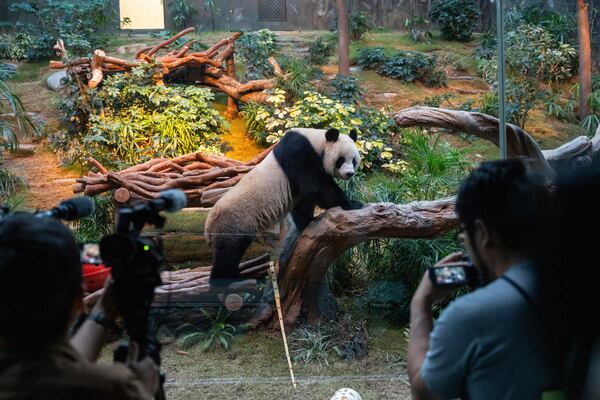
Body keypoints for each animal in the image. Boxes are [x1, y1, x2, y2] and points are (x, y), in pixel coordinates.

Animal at [206, 128, 364, 284]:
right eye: (340, 160)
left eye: (354, 160)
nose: (350, 173)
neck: (317, 142)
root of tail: (209, 224)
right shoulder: (301, 153)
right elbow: (317, 186)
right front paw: (352, 203)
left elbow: (304, 200)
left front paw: (306, 222)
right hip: (234, 222)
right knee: (229, 252)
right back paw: (227, 279)